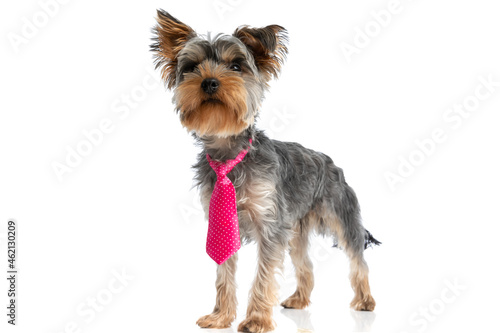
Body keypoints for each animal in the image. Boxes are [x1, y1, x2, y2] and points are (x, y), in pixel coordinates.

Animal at [150, 9, 380, 330]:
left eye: (236, 66)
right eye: (192, 67)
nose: (209, 82)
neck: (230, 155)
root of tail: (332, 163)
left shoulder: (270, 225)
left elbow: (263, 275)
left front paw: (256, 319)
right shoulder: (223, 224)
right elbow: (224, 274)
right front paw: (220, 316)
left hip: (340, 213)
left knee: (358, 258)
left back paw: (365, 300)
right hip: (297, 227)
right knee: (305, 263)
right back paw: (298, 300)